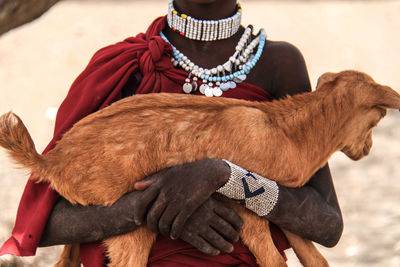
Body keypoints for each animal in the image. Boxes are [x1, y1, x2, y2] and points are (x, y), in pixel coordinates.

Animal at [0, 70, 400, 266]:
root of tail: (51, 160)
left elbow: (313, 254)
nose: (367, 150)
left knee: (66, 258)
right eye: (379, 117)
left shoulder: (284, 200)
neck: (290, 133)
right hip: (127, 225)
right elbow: (274, 259)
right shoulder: (249, 213)